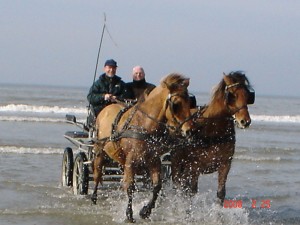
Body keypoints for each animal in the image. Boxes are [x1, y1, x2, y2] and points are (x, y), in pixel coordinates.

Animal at [92, 73, 193, 222]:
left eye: (190, 102)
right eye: (176, 104)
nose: (189, 130)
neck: (144, 124)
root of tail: (106, 108)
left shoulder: (153, 160)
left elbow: (157, 186)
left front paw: (145, 211)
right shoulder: (131, 161)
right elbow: (130, 187)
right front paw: (129, 214)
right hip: (100, 150)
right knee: (98, 173)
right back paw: (93, 196)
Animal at [171, 71, 253, 205]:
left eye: (247, 95)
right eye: (232, 95)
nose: (245, 121)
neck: (213, 129)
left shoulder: (225, 164)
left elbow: (221, 193)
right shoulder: (194, 167)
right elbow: (191, 192)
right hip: (177, 164)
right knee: (179, 187)